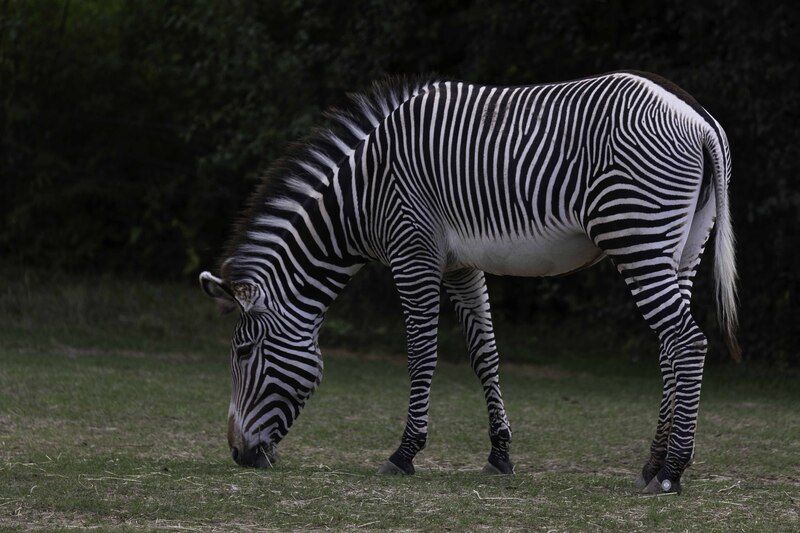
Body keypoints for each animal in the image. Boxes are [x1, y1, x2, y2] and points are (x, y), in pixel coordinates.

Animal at [199, 71, 738, 495]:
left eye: (243, 352)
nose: (239, 455)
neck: (364, 195)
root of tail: (697, 116)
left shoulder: (412, 251)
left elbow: (421, 354)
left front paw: (404, 453)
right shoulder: (461, 264)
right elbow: (485, 354)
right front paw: (500, 454)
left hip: (636, 232)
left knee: (687, 342)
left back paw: (670, 472)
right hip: (682, 245)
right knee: (670, 346)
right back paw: (651, 464)